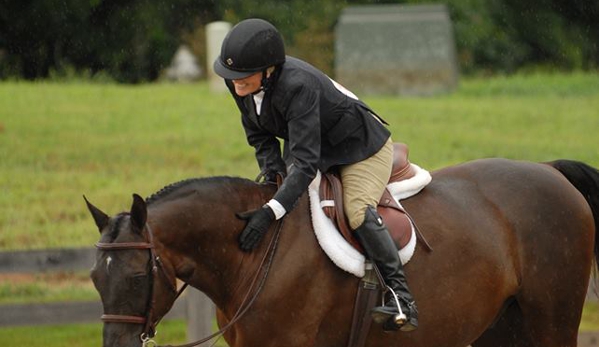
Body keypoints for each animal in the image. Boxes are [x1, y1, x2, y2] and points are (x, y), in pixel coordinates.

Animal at [85, 159, 599, 346]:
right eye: (95, 278)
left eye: (136, 276)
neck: (252, 256)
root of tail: (551, 171)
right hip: (502, 326)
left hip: (552, 321)